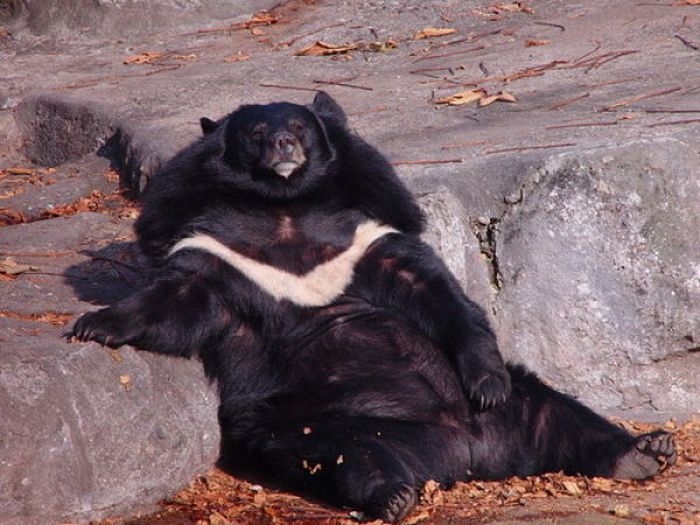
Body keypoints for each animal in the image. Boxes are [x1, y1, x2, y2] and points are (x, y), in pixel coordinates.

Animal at [71, 92, 676, 523]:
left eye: (298, 127)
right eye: (258, 132)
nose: (284, 148)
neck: (284, 209)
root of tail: (467, 450)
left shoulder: (366, 233)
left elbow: (435, 290)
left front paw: (486, 379)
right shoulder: (217, 250)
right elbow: (178, 298)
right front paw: (94, 325)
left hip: (511, 409)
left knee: (560, 415)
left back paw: (644, 450)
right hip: (319, 422)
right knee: (350, 457)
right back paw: (393, 496)